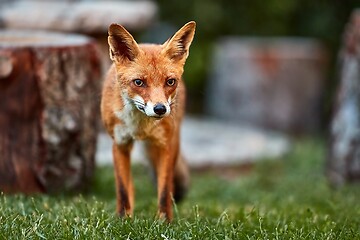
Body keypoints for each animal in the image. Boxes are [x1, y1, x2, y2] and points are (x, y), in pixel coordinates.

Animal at [100, 21, 197, 220]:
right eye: (139, 82)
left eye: (170, 82)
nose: (160, 109)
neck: (140, 126)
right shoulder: (119, 143)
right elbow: (122, 189)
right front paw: (123, 219)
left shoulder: (166, 144)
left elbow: (165, 189)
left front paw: (165, 220)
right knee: (130, 186)